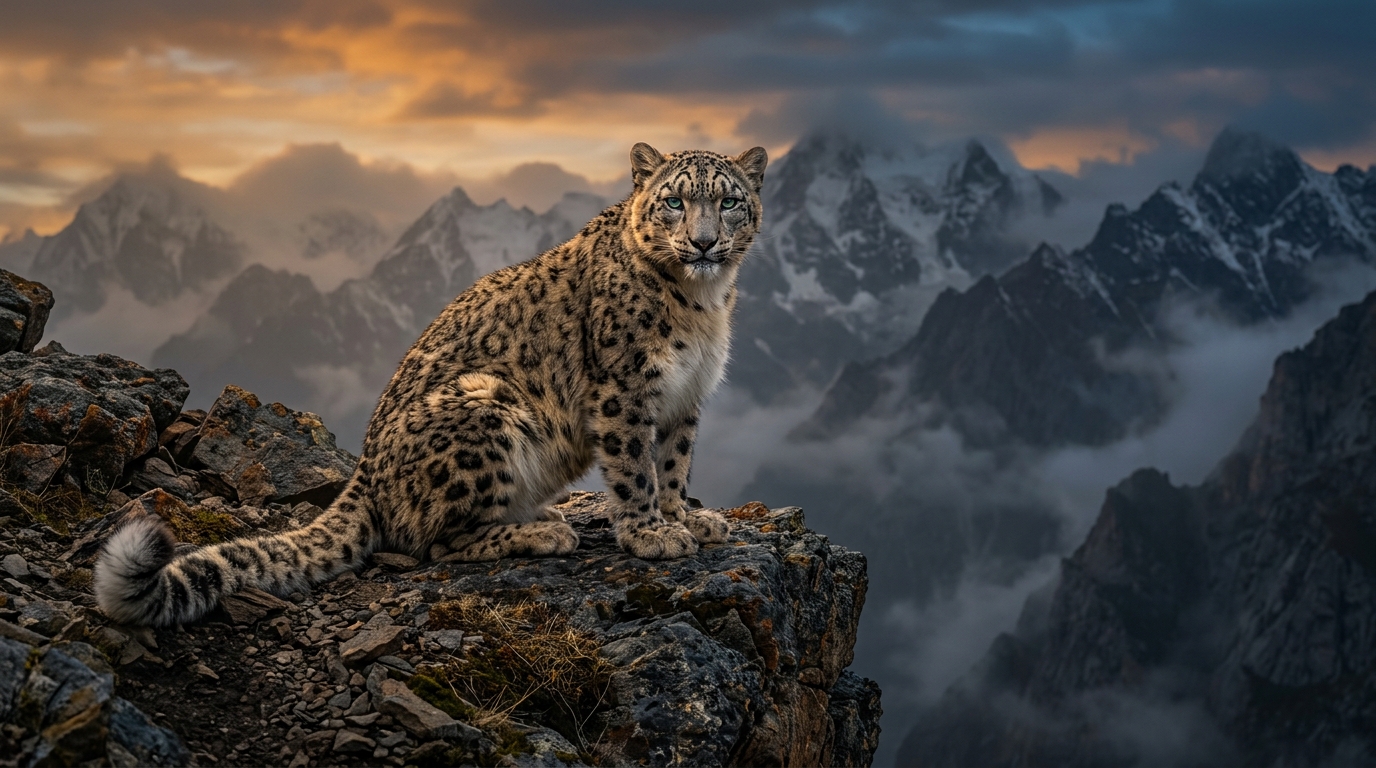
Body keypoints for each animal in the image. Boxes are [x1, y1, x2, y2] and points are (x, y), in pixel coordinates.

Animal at [95, 142, 768, 627]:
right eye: (674, 202)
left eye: (729, 202)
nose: (704, 241)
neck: (703, 305)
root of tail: (366, 471)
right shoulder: (623, 391)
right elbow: (635, 469)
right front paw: (650, 534)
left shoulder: (686, 398)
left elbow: (674, 464)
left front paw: (689, 520)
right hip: (486, 407)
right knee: (439, 541)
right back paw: (545, 530)